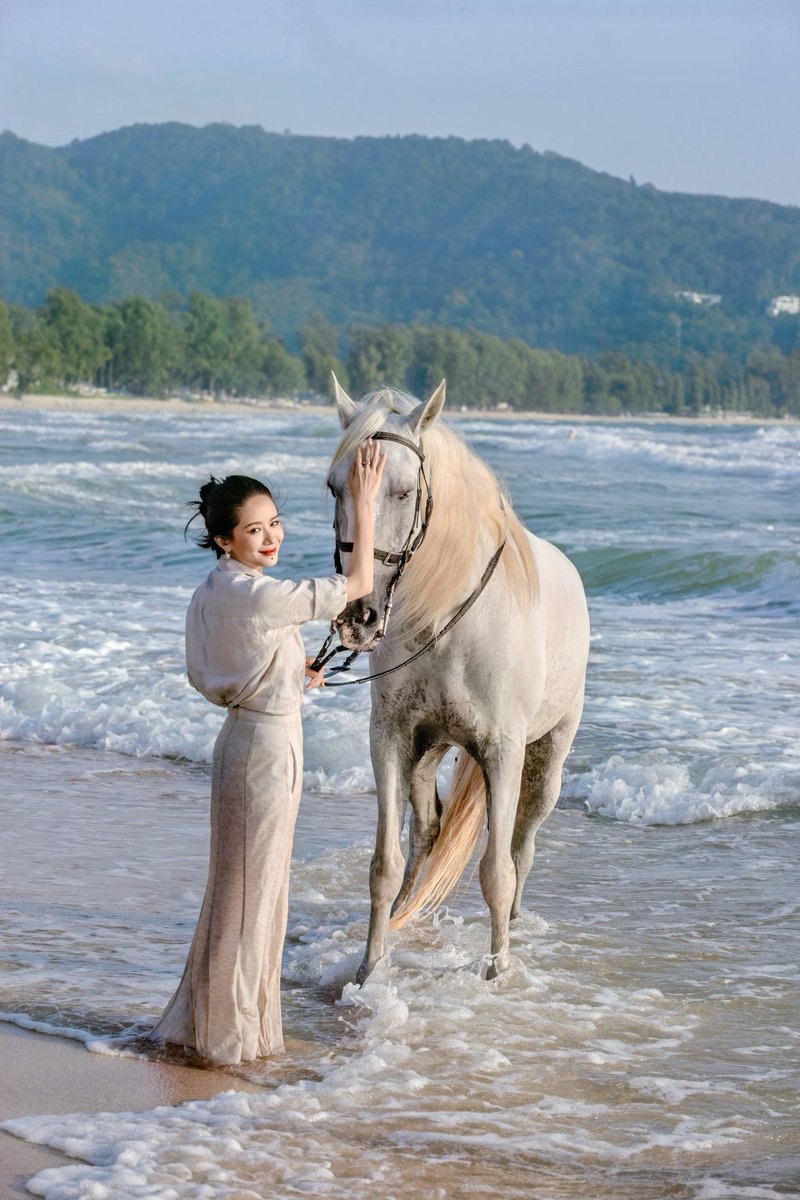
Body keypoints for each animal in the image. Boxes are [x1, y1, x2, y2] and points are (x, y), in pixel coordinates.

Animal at [325, 379, 590, 983]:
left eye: (402, 492)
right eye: (334, 488)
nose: (358, 616)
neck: (445, 620)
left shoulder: (503, 749)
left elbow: (496, 870)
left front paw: (496, 972)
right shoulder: (392, 739)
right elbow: (384, 862)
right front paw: (370, 968)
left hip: (547, 757)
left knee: (522, 844)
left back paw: (512, 926)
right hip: (426, 754)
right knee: (427, 830)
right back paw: (406, 913)